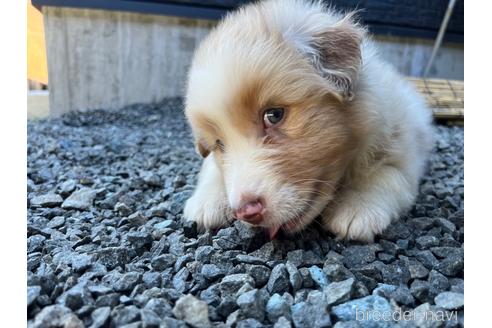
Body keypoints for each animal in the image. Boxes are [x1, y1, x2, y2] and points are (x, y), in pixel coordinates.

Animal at [183, 0, 432, 241]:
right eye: (219, 144)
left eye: (274, 115)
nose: (246, 211)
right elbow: (210, 168)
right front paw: (206, 202)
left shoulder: (403, 143)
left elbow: (388, 173)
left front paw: (357, 207)